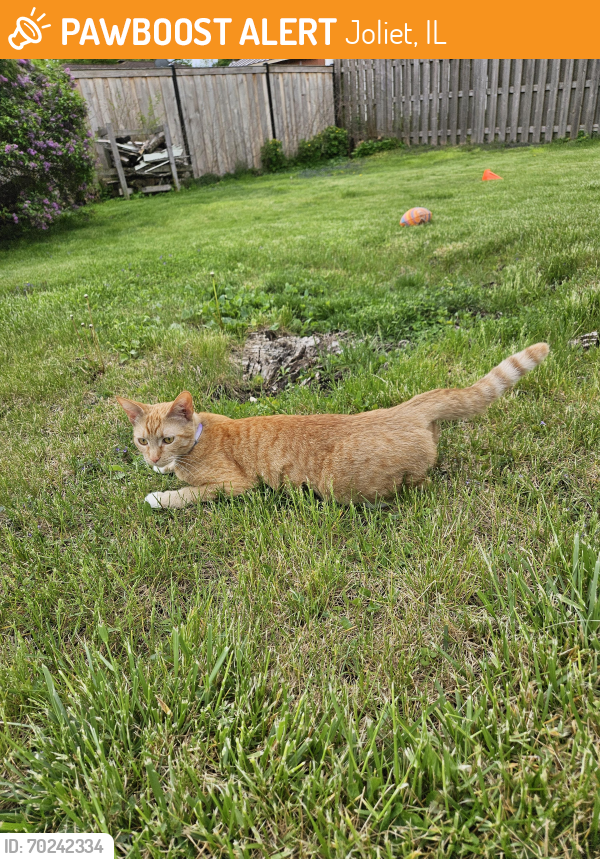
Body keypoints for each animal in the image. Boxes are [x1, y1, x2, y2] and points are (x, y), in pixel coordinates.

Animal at [117, 340, 548, 508]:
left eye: (166, 440)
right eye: (142, 442)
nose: (153, 459)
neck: (201, 434)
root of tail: (403, 409)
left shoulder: (234, 485)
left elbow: (189, 493)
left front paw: (159, 497)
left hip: (340, 483)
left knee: (421, 483)